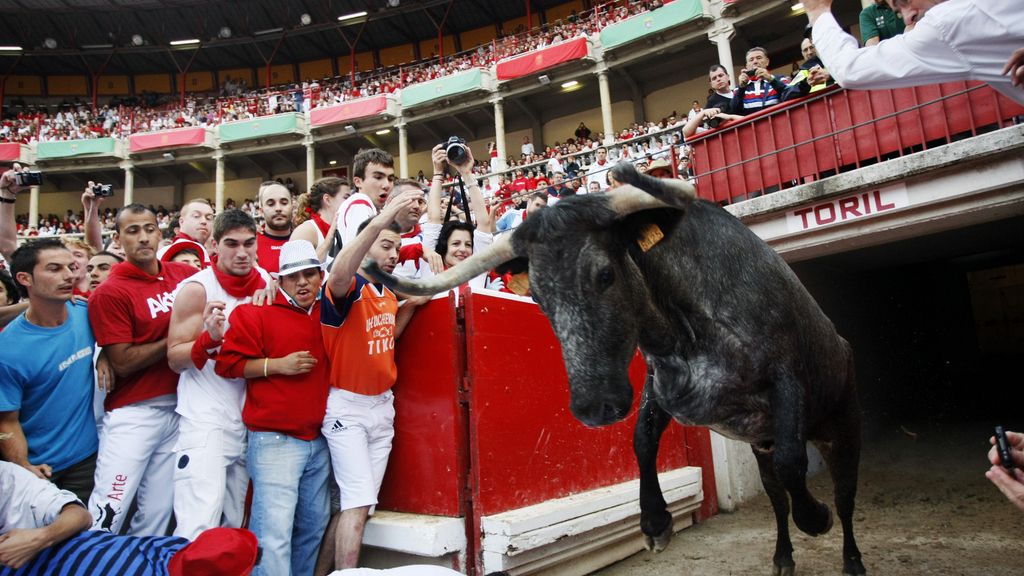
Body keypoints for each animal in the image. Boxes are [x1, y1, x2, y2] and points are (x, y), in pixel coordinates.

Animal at [368, 162, 864, 573]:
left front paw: (815, 517)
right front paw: (655, 523)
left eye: (604, 274)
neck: (685, 331)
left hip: (844, 429)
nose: (594, 408)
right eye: (540, 298)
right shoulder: (665, 390)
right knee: (777, 499)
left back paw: (851, 558)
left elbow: (793, 460)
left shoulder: (787, 378)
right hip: (759, 445)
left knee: (843, 496)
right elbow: (642, 442)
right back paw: (782, 558)